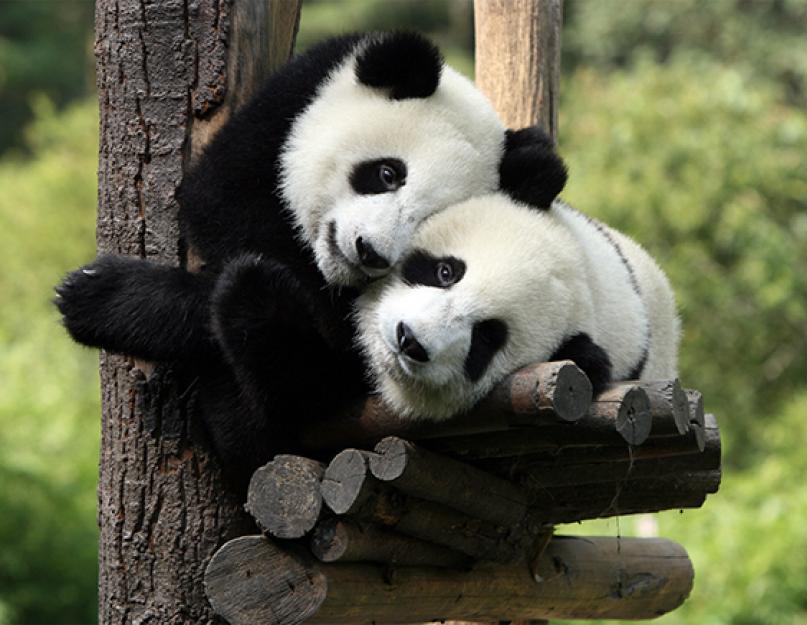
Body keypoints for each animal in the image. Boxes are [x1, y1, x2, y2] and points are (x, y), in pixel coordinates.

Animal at [55, 30, 568, 488]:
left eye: (427, 220)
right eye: (387, 173)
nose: (369, 252)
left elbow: (329, 347)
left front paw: (100, 298)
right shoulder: (287, 108)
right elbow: (219, 202)